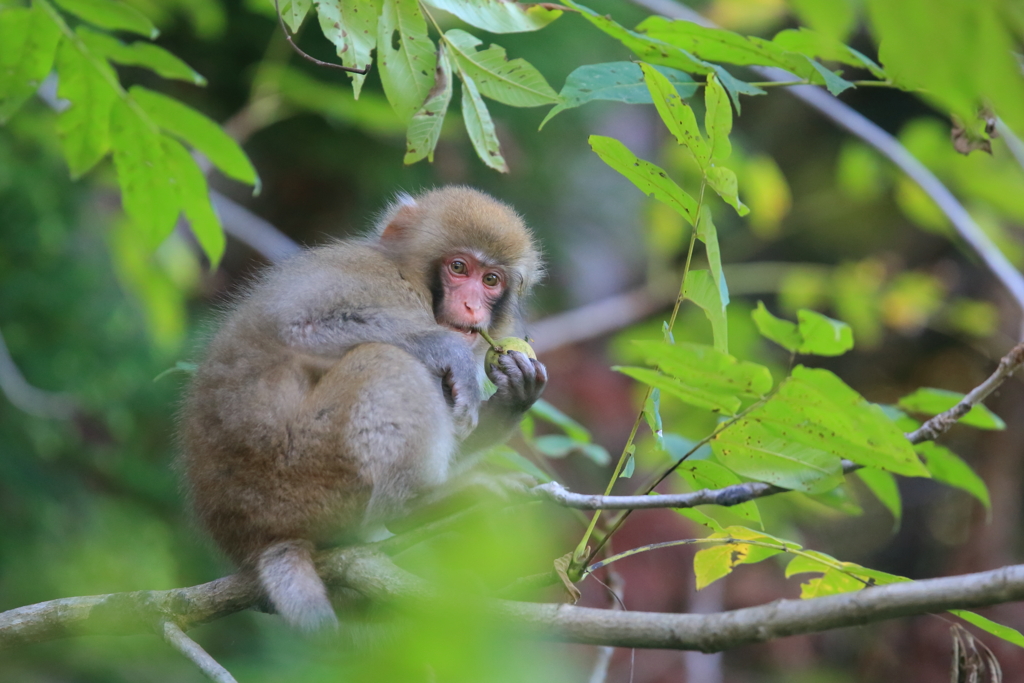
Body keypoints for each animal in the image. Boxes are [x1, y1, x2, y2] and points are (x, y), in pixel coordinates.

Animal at [178, 185, 544, 630]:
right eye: (459, 267)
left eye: (491, 279)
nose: (474, 307)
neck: (410, 278)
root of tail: (254, 539)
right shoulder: (379, 286)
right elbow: (299, 327)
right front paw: (450, 351)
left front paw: (514, 396)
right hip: (302, 472)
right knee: (383, 360)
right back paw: (416, 505)